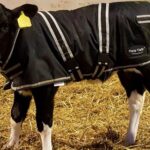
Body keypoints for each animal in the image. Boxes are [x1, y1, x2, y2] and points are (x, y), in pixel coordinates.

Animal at [0, 0, 150, 149]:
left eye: (4, 26)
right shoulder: (22, 83)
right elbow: (15, 115)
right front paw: (11, 145)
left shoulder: (46, 84)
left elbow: (44, 123)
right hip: (129, 71)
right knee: (136, 101)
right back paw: (129, 140)